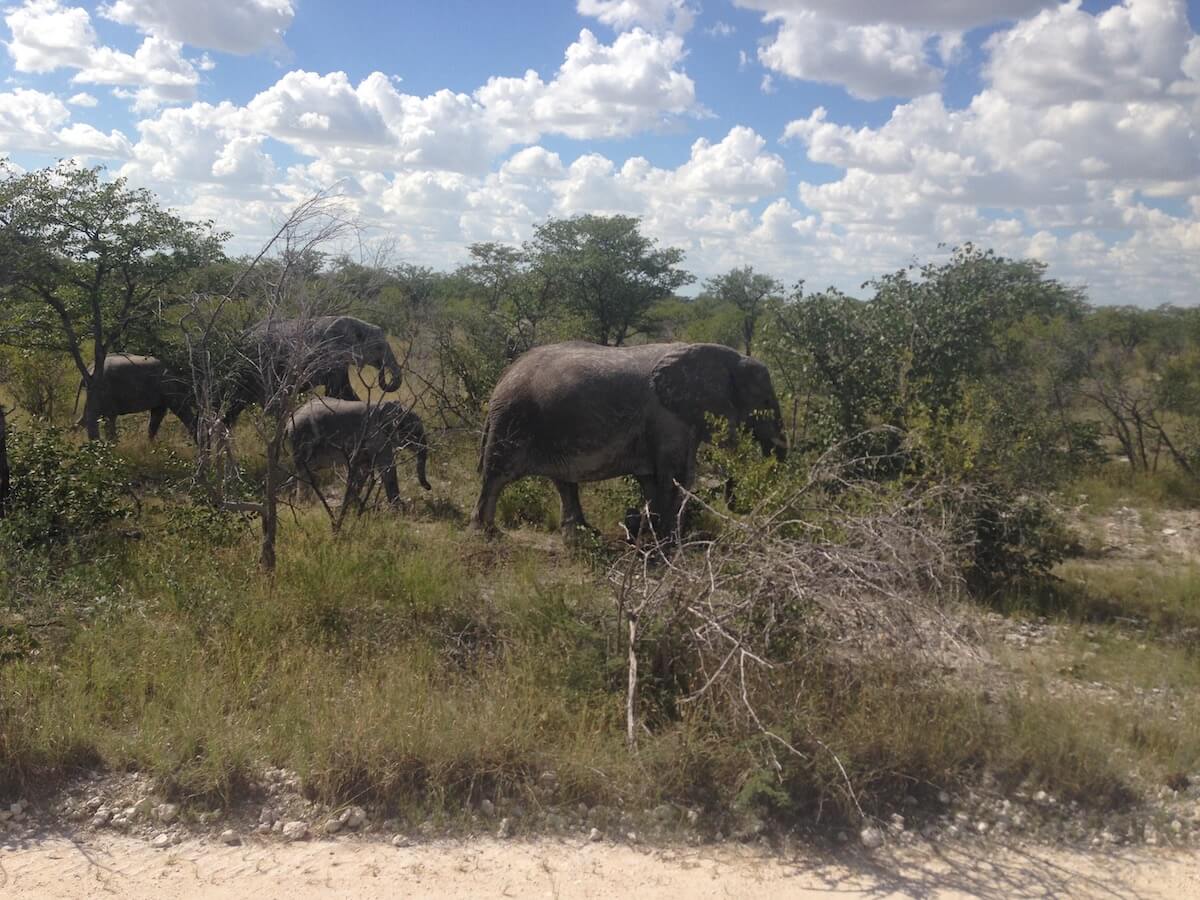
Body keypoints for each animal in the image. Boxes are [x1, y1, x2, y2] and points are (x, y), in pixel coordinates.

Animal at [285, 396, 432, 508]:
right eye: (414, 432)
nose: (428, 487)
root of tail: (289, 421)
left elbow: (363, 468)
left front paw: (354, 505)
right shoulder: (376, 435)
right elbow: (386, 466)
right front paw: (399, 509)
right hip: (302, 438)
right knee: (305, 473)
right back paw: (305, 505)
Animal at [472, 340, 792, 540]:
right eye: (764, 402)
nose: (737, 503)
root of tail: (505, 374)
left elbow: (664, 478)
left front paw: (651, 534)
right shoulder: (668, 417)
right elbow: (675, 476)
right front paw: (670, 542)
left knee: (563, 481)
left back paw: (584, 534)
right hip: (512, 419)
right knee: (496, 476)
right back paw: (487, 534)